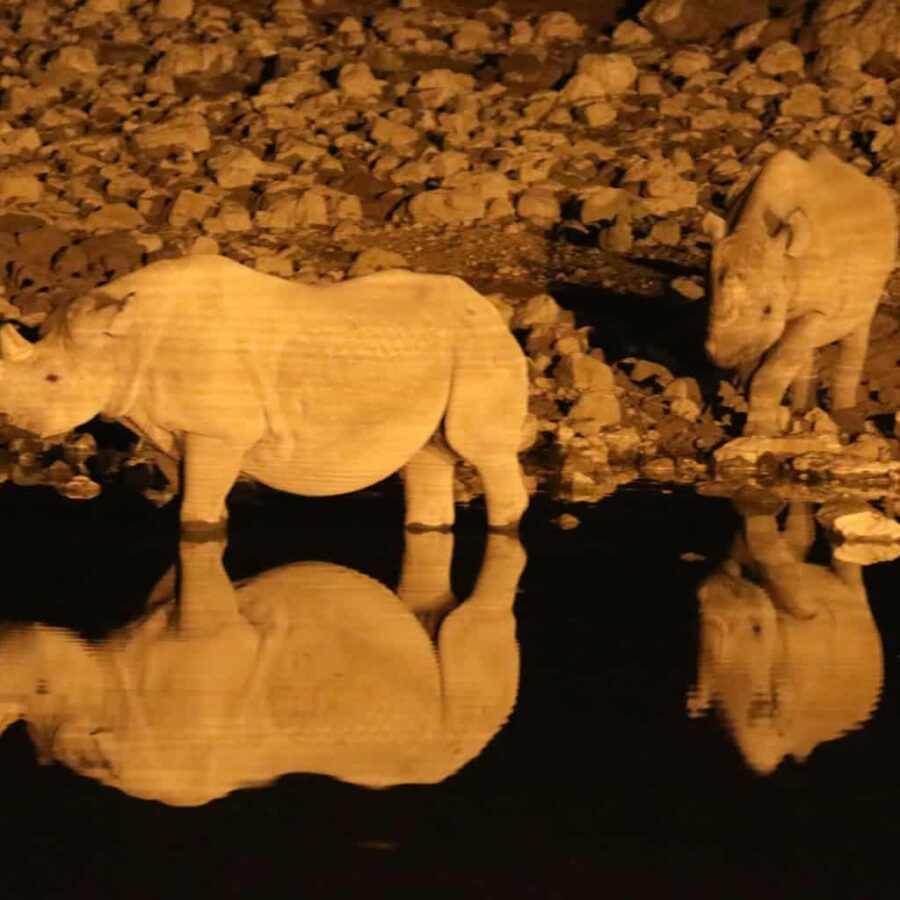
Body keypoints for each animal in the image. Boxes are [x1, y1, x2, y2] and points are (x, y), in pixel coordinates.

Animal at [0, 253, 532, 532]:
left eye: (53, 379)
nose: (10, 424)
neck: (123, 339)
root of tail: (489, 308)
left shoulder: (217, 432)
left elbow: (196, 516)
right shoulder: (170, 428)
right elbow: (193, 503)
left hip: (480, 344)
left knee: (480, 447)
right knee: (428, 456)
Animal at [704, 145, 900, 436]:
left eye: (768, 309)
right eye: (709, 300)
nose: (722, 356)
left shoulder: (816, 308)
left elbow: (769, 371)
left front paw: (759, 433)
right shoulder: (755, 326)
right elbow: (759, 366)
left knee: (858, 327)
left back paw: (844, 418)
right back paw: (802, 411)